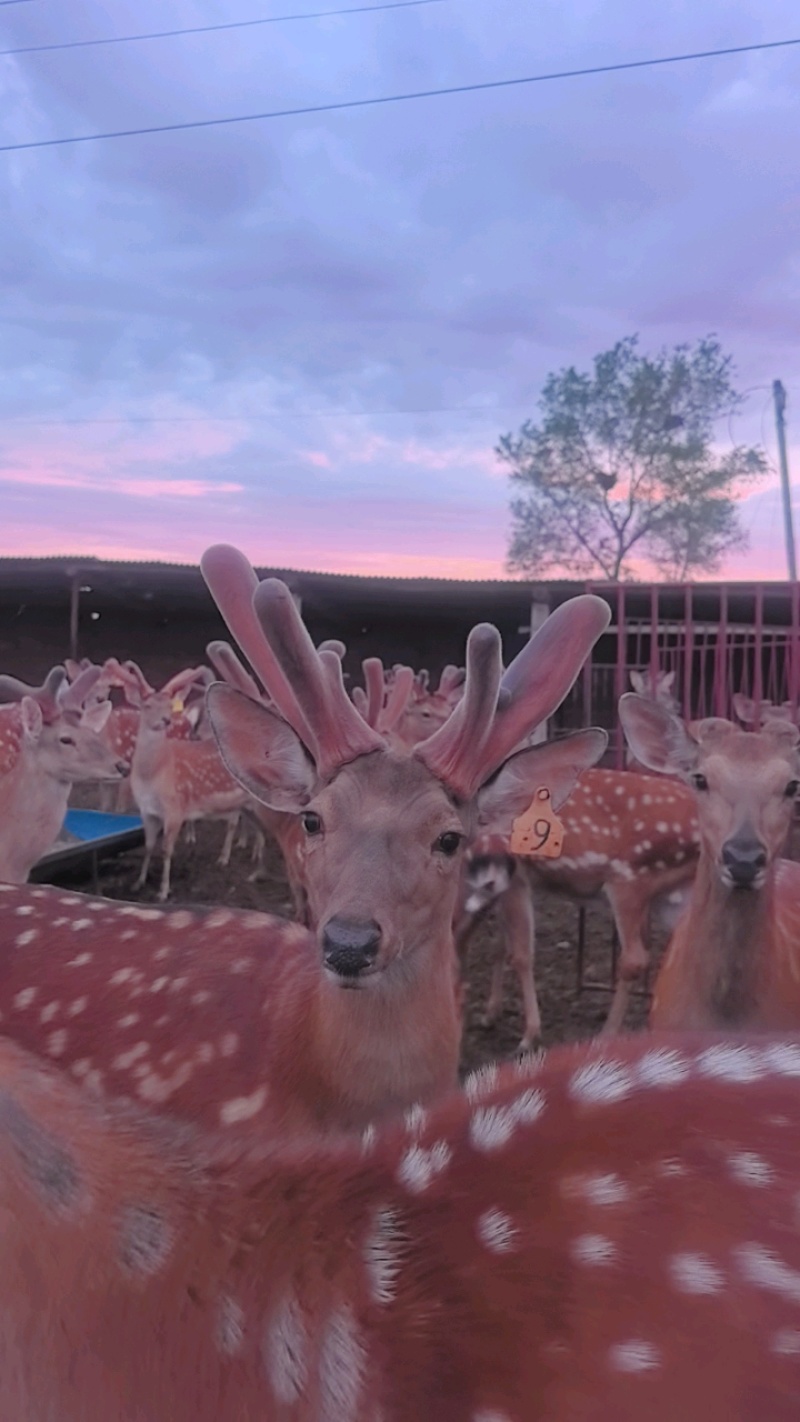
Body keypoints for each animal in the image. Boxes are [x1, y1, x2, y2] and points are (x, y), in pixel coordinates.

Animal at [456, 765, 702, 1042]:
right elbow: (501, 946)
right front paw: (490, 1014)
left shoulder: (516, 876)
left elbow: (519, 954)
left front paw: (530, 1033)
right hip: (674, 894)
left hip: (630, 878)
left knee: (635, 958)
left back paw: (607, 1033)